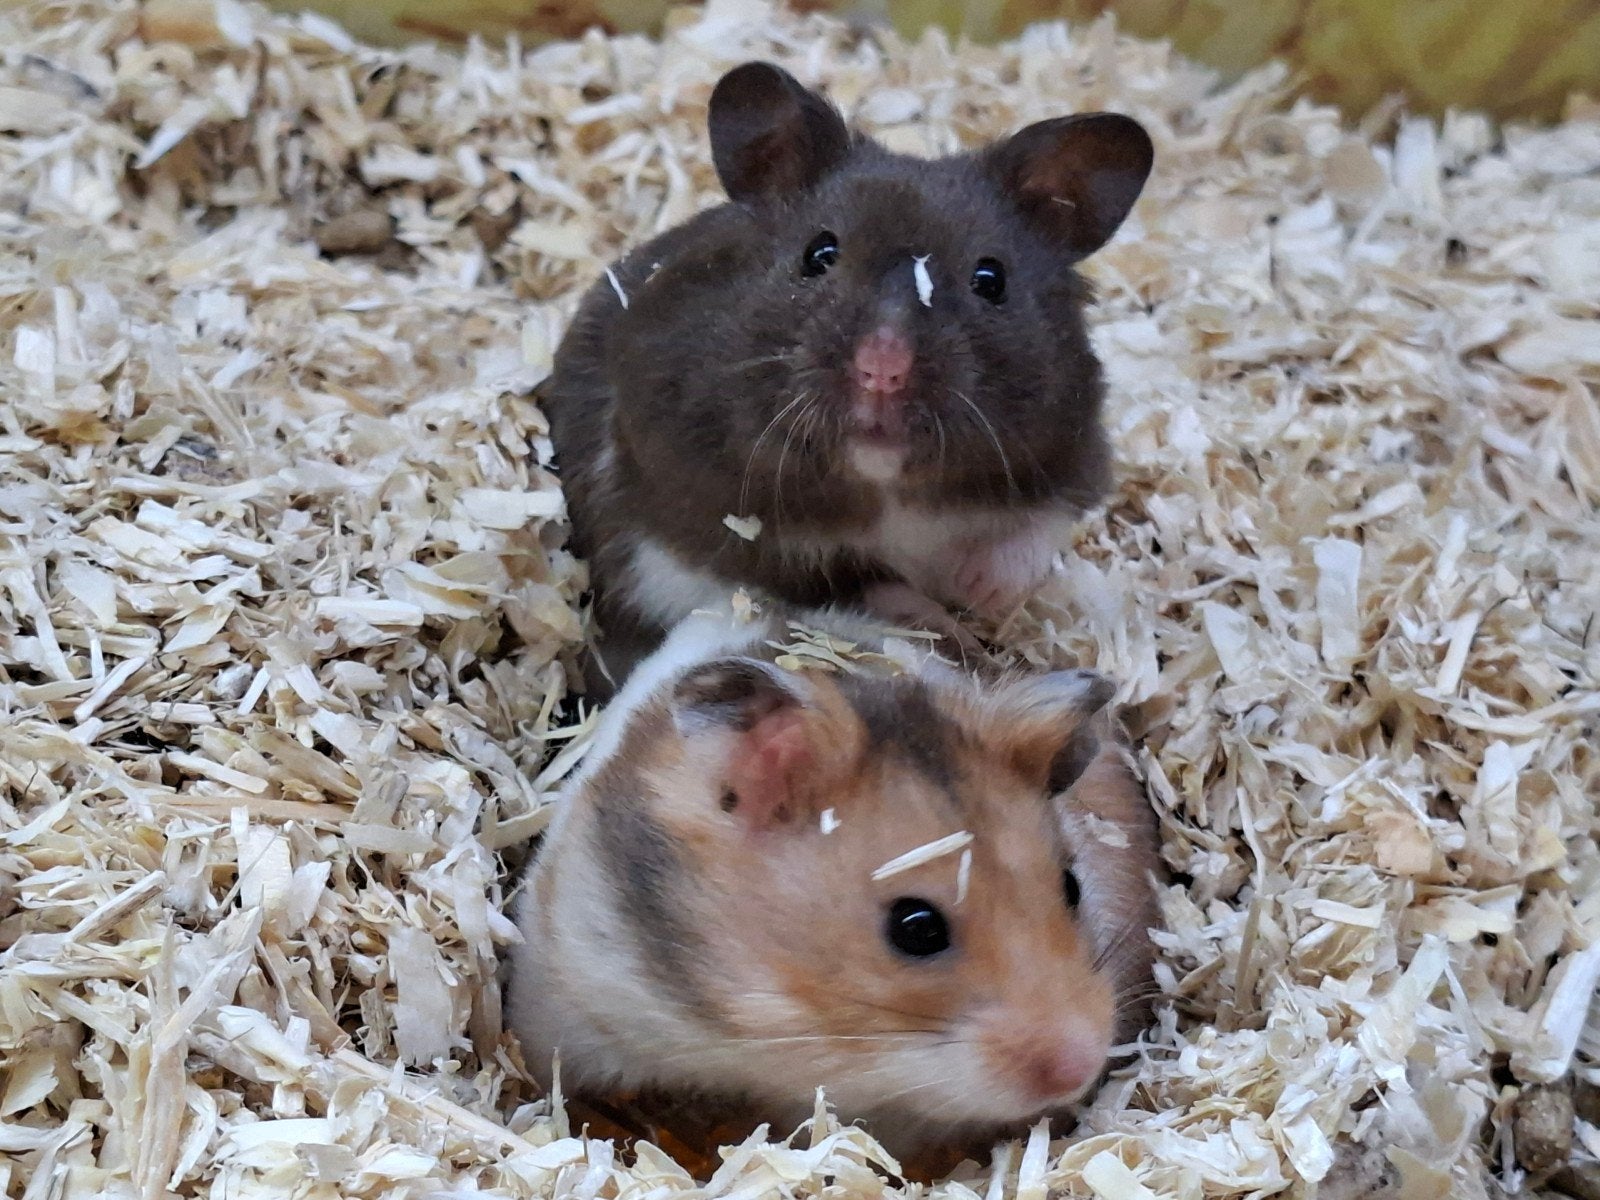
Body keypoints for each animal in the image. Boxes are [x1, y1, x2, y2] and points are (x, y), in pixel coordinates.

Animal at [541, 62, 1154, 689]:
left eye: (991, 278)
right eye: (819, 253)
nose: (882, 369)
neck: (887, 491)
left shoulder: (1072, 452)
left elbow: (1039, 531)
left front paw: (981, 593)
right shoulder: (693, 525)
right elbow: (859, 586)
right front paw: (945, 621)